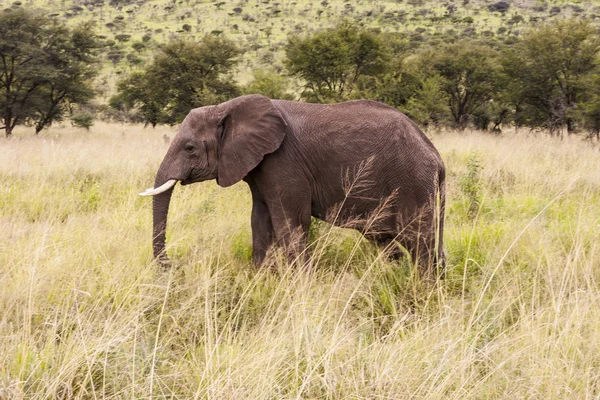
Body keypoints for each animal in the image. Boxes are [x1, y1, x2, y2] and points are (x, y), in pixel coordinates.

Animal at [141, 94, 446, 272]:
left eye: (189, 148)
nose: (171, 265)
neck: (226, 107)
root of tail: (436, 156)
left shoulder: (283, 162)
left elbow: (290, 223)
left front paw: (300, 284)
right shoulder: (260, 166)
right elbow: (259, 222)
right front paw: (260, 279)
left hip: (413, 183)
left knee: (419, 242)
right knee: (394, 243)